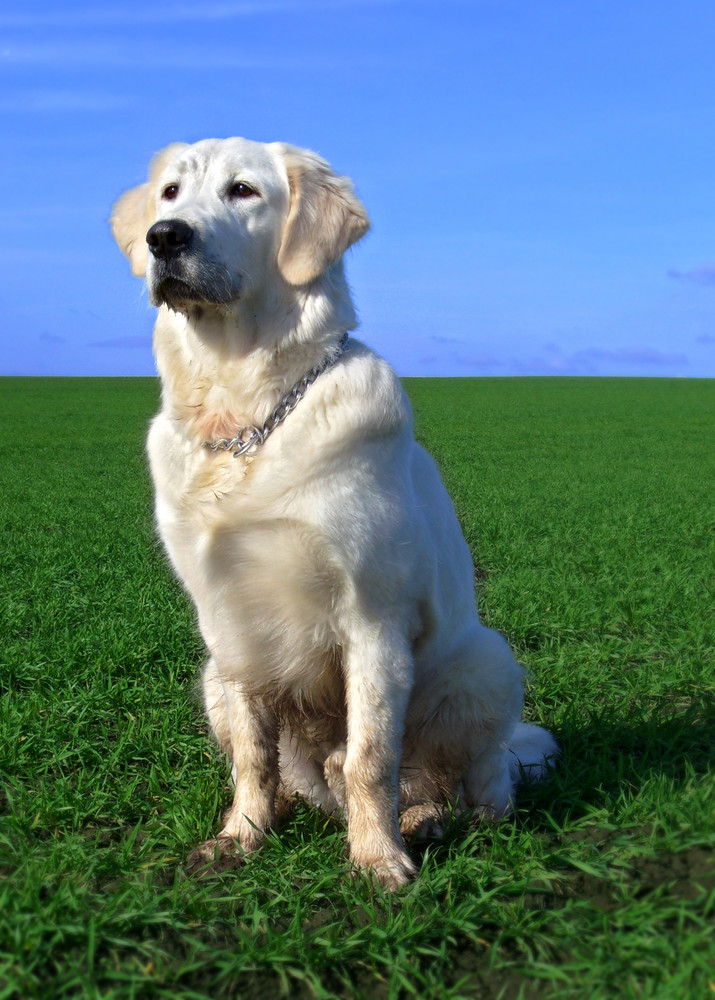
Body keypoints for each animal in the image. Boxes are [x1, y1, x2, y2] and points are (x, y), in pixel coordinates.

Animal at [112, 135, 560, 892]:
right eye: (170, 192)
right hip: (208, 676)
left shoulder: (372, 617)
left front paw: (377, 858)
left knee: (474, 786)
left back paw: (427, 819)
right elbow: (253, 756)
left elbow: (370, 756)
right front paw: (242, 836)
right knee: (306, 775)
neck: (247, 418)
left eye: (243, 190)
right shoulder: (228, 625)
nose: (164, 237)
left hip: (487, 662)